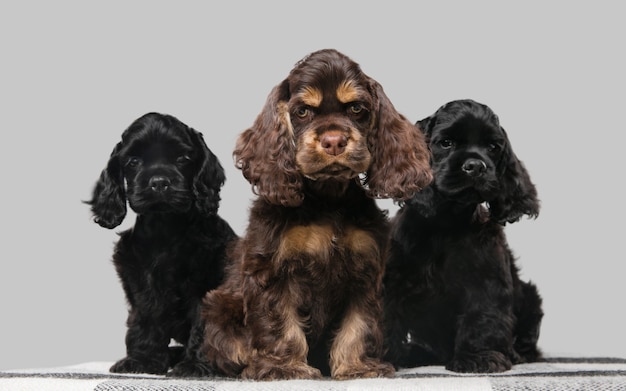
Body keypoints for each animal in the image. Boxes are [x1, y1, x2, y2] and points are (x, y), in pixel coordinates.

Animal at [85, 112, 236, 376]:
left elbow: (203, 324)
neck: (166, 227)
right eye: (133, 161)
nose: (158, 182)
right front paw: (142, 361)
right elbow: (146, 320)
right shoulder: (143, 280)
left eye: (182, 158)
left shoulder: (207, 282)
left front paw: (196, 366)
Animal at [171, 47, 434, 382]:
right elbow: (280, 324)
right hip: (220, 307)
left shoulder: (364, 272)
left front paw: (358, 368)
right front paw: (284, 368)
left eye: (356, 108)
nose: (334, 141)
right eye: (303, 112)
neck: (327, 200)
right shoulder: (273, 271)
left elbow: (358, 325)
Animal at [380, 98, 540, 374]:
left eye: (493, 146)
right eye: (446, 143)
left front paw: (479, 357)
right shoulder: (394, 279)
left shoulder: (485, 281)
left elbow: (481, 318)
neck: (446, 222)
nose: (476, 166)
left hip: (530, 297)